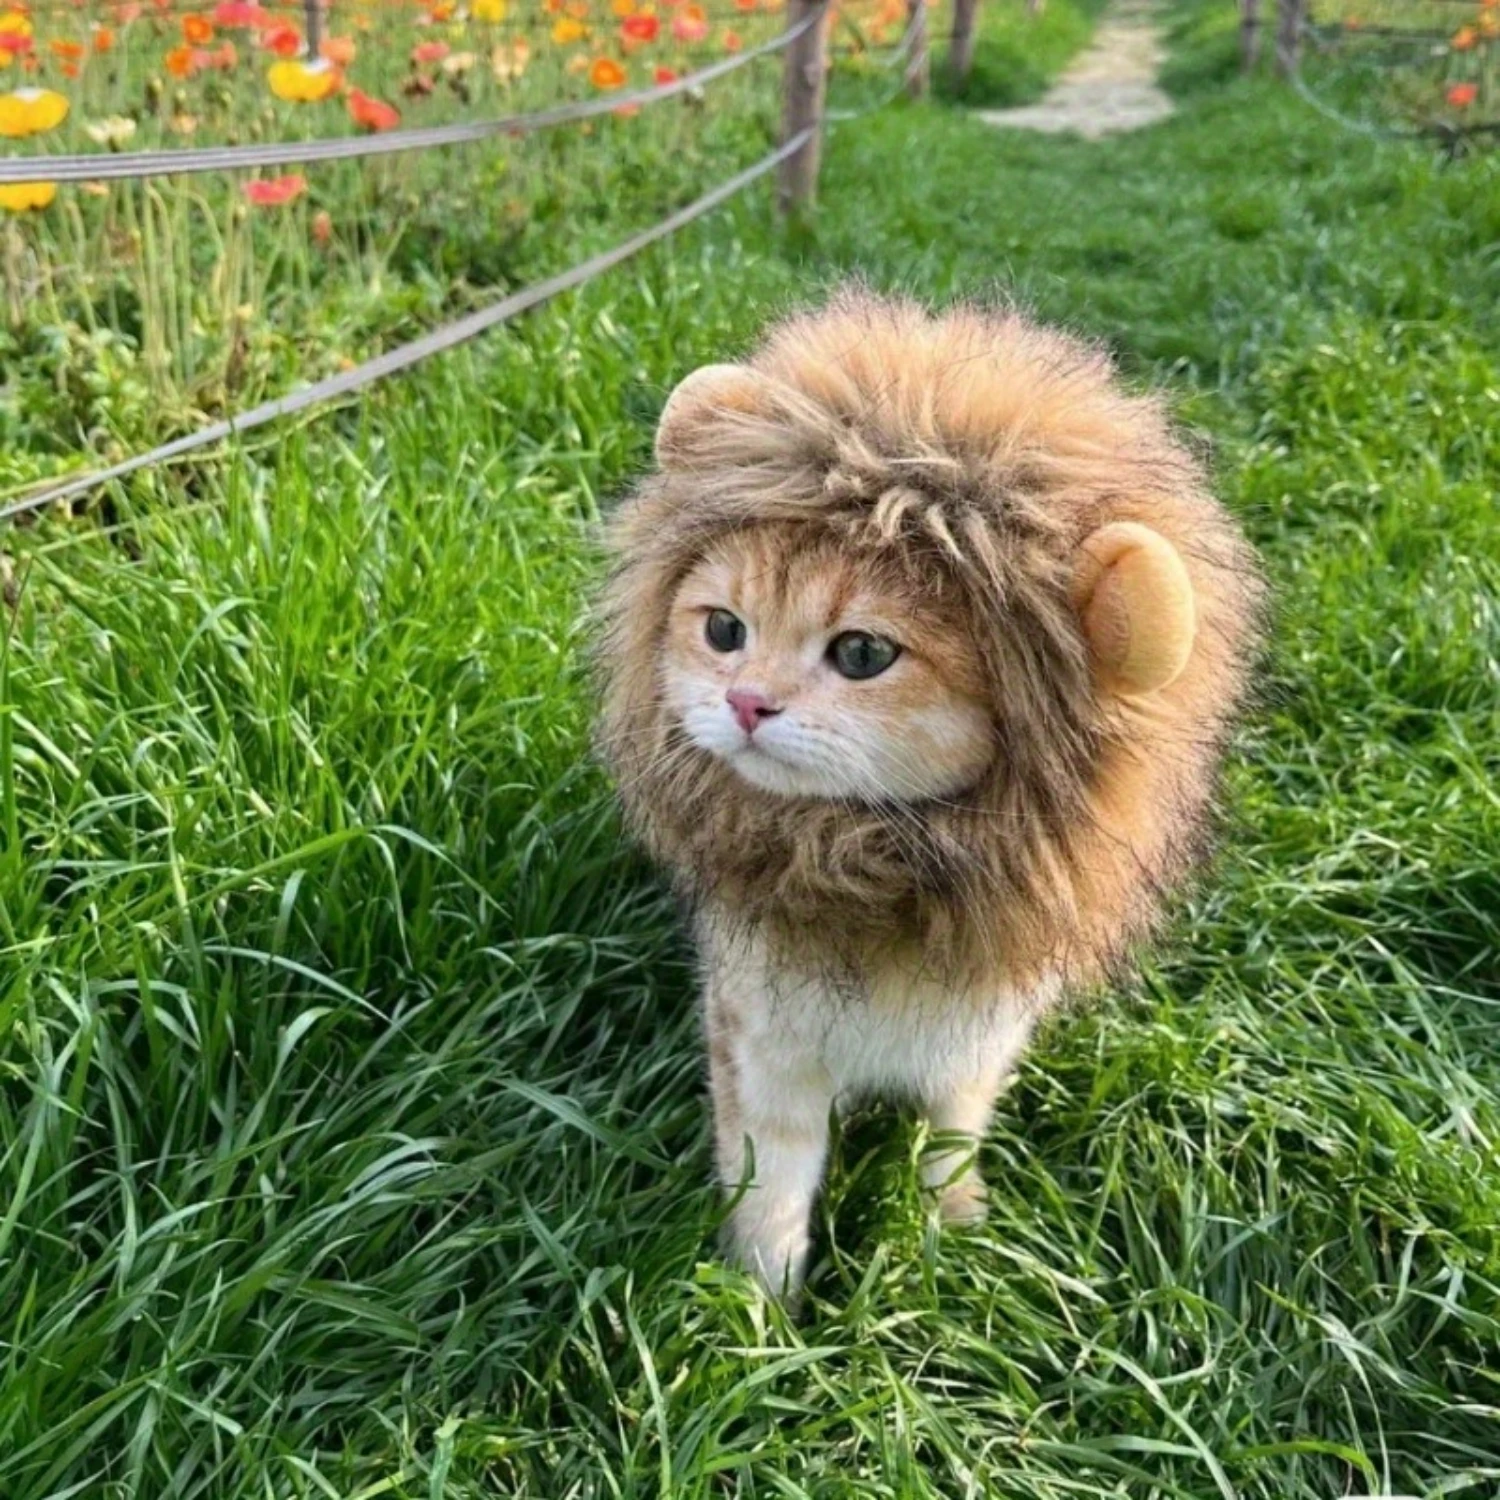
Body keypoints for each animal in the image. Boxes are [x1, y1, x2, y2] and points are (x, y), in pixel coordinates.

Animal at [591, 286, 1260, 1296]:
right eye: (723, 630)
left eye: (864, 653)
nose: (745, 702)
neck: (884, 876)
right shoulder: (764, 1048)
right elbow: (772, 1192)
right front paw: (760, 1312)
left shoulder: (976, 1042)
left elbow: (951, 1138)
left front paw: (952, 1235)